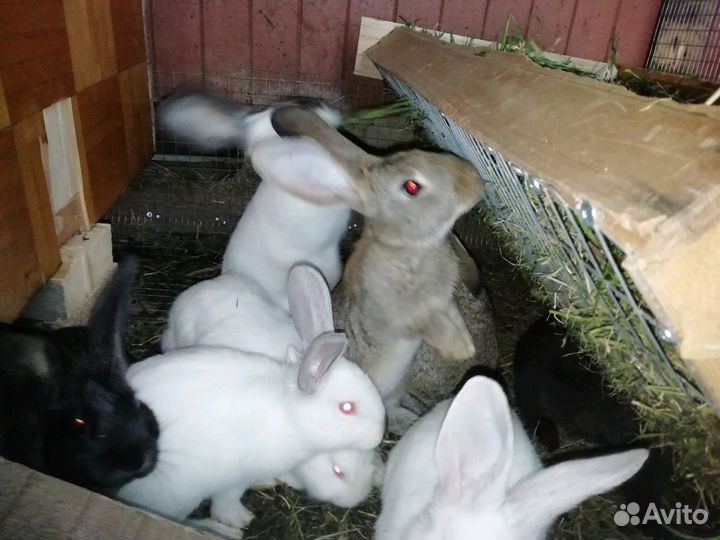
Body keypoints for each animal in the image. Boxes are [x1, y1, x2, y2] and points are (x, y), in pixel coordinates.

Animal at [117, 265, 386, 538]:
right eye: (347, 407)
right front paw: (239, 519)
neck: (286, 411)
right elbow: (228, 498)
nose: (378, 435)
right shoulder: (237, 474)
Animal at [257, 105, 486, 433]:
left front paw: (464, 344)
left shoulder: (445, 302)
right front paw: (460, 349)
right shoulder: (397, 313)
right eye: (412, 186)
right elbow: (423, 323)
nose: (474, 180)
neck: (410, 249)